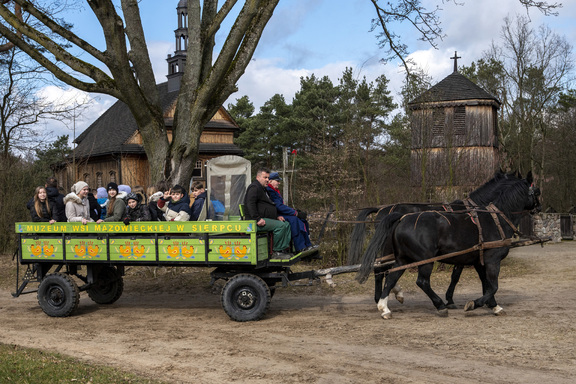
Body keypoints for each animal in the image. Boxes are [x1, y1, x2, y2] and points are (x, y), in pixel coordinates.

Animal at [356, 171, 540, 318]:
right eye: (537, 192)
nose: (539, 208)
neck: (495, 218)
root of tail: (400, 218)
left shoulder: (478, 261)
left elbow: (486, 284)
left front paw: (492, 305)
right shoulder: (492, 260)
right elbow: (492, 285)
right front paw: (471, 303)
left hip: (402, 257)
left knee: (390, 275)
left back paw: (384, 306)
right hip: (424, 260)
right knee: (420, 281)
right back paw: (438, 306)